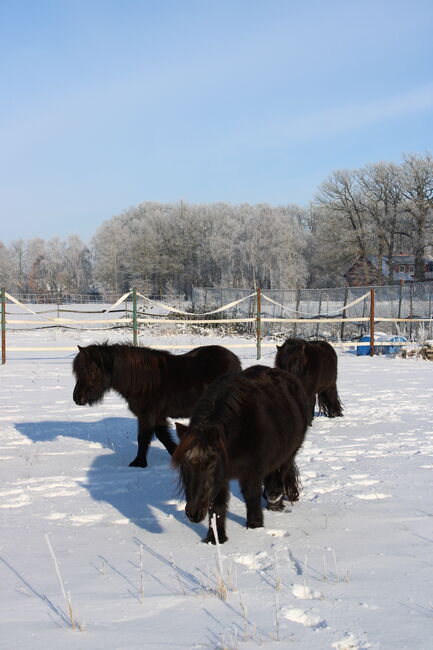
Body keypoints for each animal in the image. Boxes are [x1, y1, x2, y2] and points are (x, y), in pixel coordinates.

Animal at [72, 343, 242, 468]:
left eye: (91, 372)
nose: (77, 398)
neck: (143, 381)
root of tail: (233, 360)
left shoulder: (147, 415)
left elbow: (143, 438)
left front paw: (138, 463)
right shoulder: (157, 416)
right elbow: (162, 436)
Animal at [172, 365, 309, 544]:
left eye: (210, 464)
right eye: (183, 466)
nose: (193, 513)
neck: (241, 431)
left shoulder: (251, 471)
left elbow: (251, 495)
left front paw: (255, 525)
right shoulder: (222, 475)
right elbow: (217, 504)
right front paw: (215, 538)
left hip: (290, 452)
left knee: (281, 472)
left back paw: (275, 501)